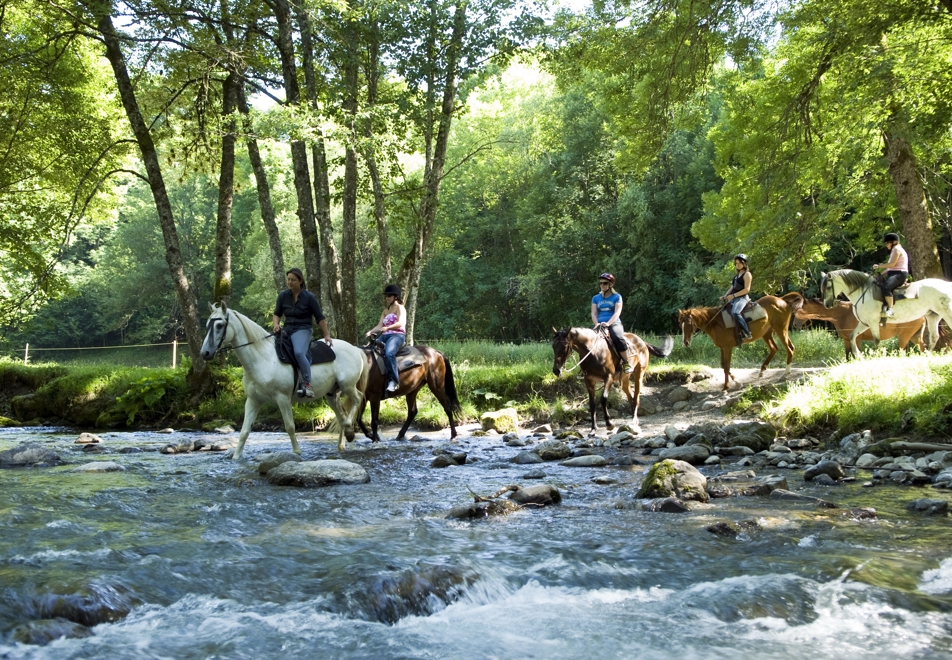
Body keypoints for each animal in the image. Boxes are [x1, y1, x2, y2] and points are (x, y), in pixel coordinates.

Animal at [198, 300, 368, 458]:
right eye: (207, 324)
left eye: (219, 325)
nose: (205, 353)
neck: (263, 359)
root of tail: (355, 349)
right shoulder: (253, 400)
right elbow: (245, 431)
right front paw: (236, 457)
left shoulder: (282, 398)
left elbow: (290, 427)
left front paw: (297, 452)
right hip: (332, 394)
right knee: (341, 417)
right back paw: (343, 443)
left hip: (347, 386)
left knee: (358, 398)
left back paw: (349, 433)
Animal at [676, 294, 804, 392]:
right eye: (680, 323)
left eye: (688, 324)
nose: (685, 342)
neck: (716, 323)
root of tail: (781, 300)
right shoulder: (722, 348)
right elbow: (723, 365)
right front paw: (737, 382)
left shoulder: (728, 347)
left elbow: (726, 366)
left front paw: (726, 387)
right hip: (767, 333)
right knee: (774, 349)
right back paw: (762, 371)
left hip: (781, 330)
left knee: (790, 348)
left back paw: (785, 373)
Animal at [792, 300, 924, 360]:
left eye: (797, 311)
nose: (794, 325)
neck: (841, 313)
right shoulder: (846, 340)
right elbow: (847, 356)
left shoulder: (857, 339)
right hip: (914, 336)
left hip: (904, 336)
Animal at [820, 268, 952, 358]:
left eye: (828, 287)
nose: (827, 305)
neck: (863, 293)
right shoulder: (864, 323)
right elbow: (852, 336)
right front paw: (858, 355)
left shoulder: (873, 322)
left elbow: (877, 340)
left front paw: (879, 357)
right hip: (933, 316)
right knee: (934, 337)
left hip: (946, 314)